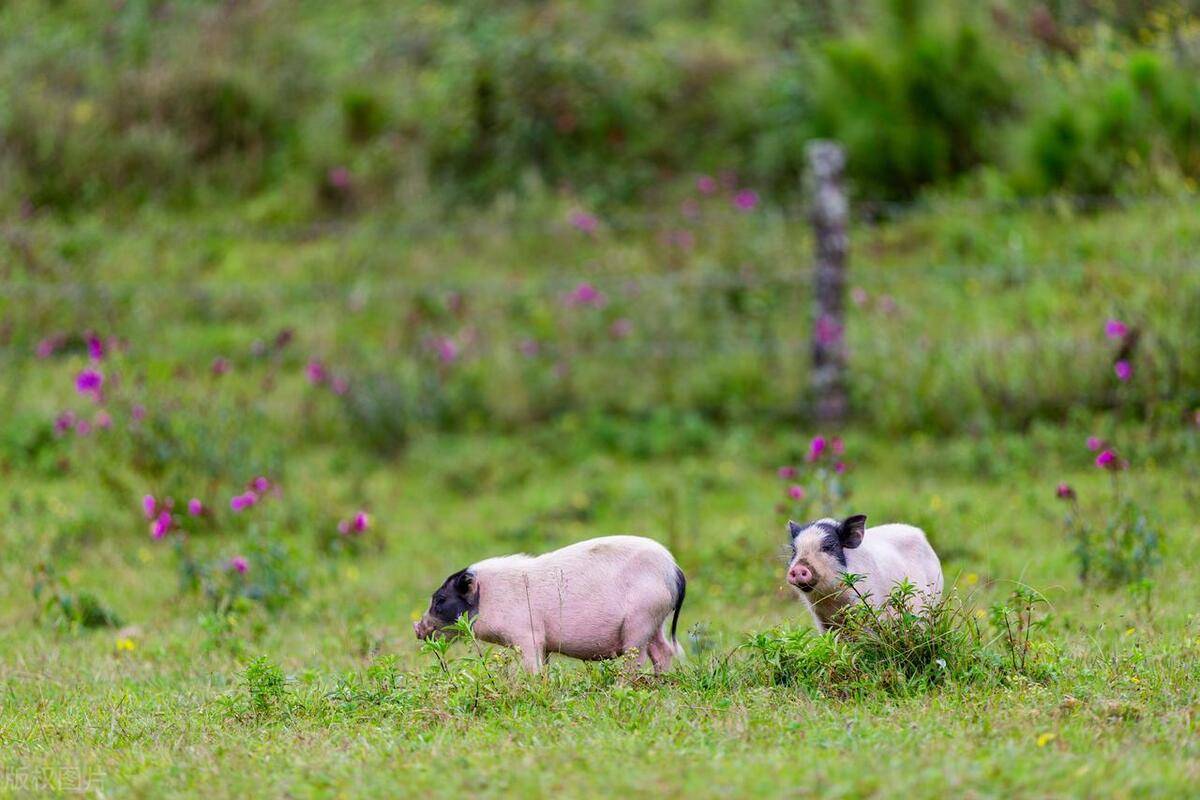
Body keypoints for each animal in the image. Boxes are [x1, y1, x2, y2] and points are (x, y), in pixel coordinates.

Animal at [417, 534, 691, 671]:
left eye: (440, 599)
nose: (418, 628)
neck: (488, 597)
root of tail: (675, 570)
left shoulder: (527, 633)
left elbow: (532, 665)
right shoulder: (543, 643)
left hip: (642, 616)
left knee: (637, 656)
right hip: (656, 619)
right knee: (663, 650)